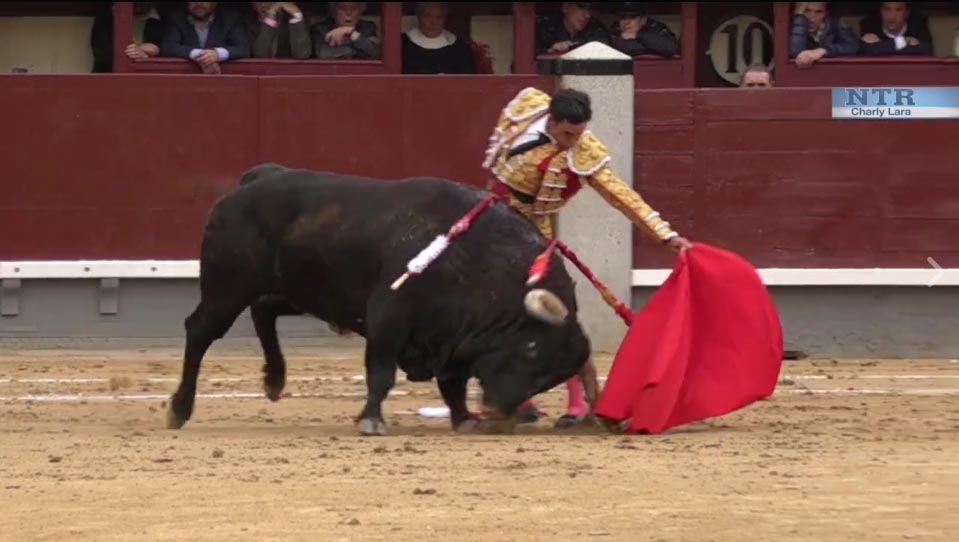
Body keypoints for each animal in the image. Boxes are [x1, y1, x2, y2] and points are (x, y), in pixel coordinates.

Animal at [166, 165, 600, 438]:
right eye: (531, 348)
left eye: (549, 377)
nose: (499, 411)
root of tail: (255, 179)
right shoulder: (388, 318)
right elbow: (381, 372)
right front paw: (371, 421)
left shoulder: (454, 339)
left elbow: (453, 384)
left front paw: (464, 418)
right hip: (226, 288)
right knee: (200, 331)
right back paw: (179, 409)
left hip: (304, 291)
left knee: (264, 308)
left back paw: (274, 379)